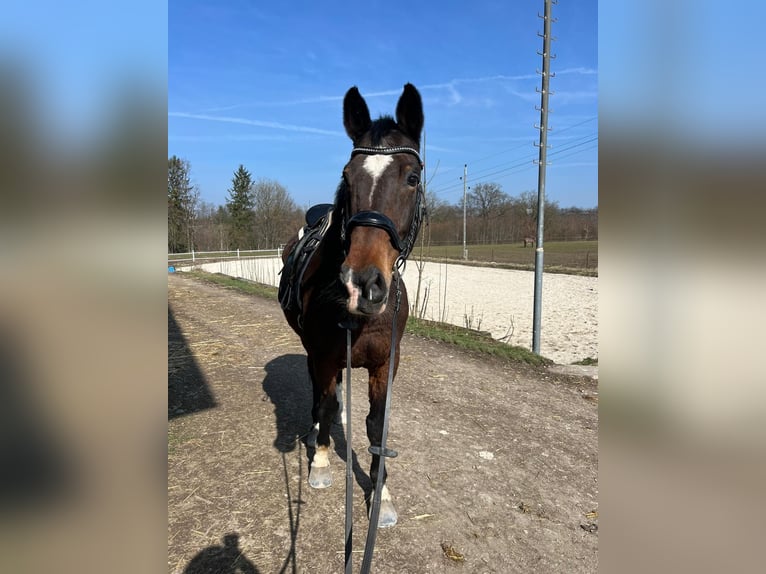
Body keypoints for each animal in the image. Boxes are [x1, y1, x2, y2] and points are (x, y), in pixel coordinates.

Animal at [280, 84, 426, 532]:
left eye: (412, 178)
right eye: (347, 177)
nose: (362, 283)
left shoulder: (385, 363)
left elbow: (377, 426)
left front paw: (381, 495)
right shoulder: (326, 354)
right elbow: (326, 402)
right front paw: (322, 461)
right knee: (319, 392)